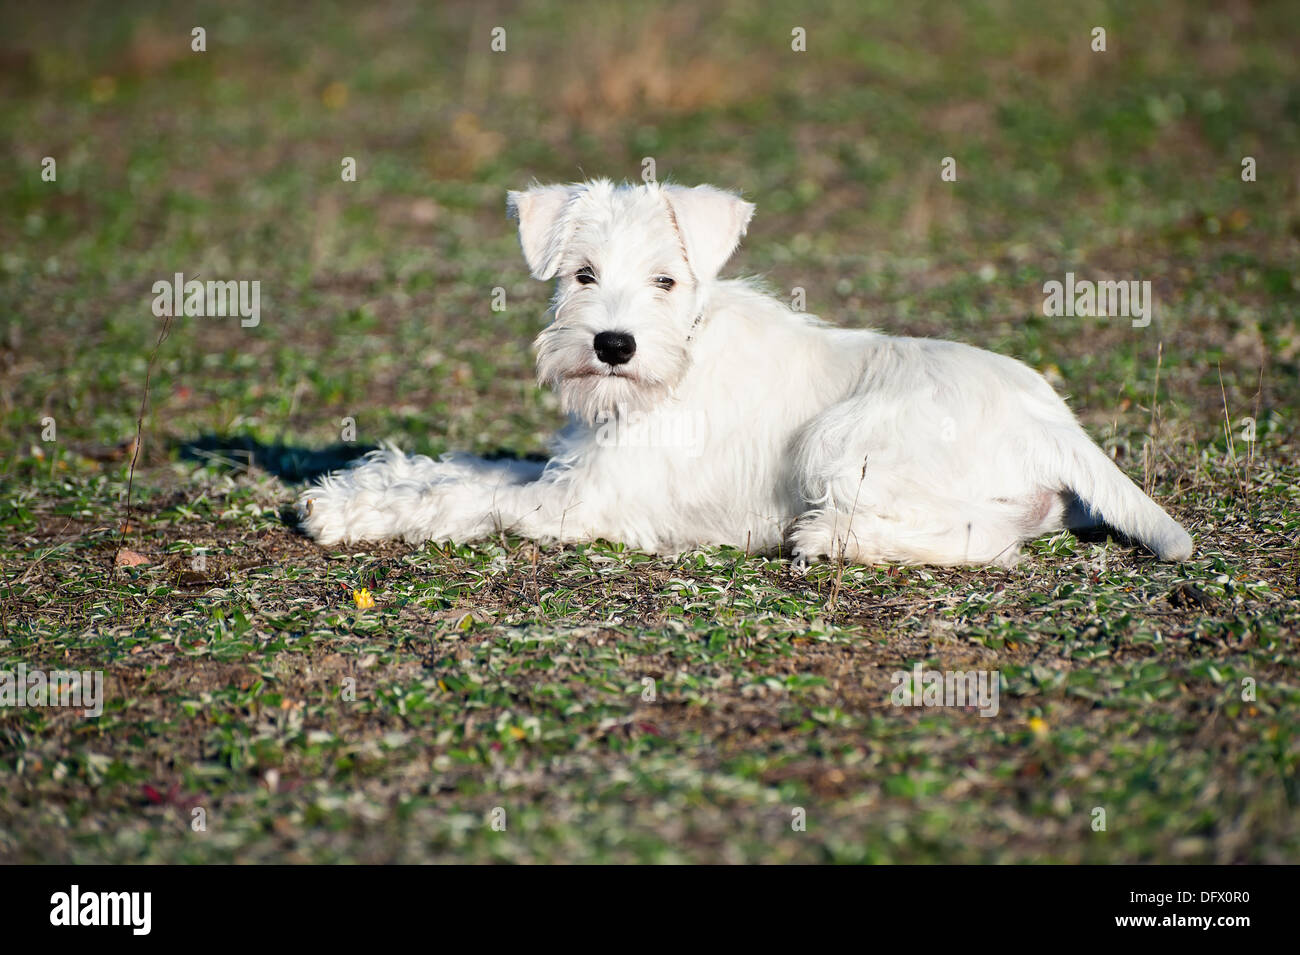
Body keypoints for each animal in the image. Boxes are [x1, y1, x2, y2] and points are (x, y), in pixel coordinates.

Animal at [299, 180, 1190, 566]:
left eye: (665, 279)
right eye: (583, 274)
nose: (613, 345)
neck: (678, 361)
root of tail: (1058, 425)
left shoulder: (584, 502)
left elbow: (466, 499)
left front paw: (352, 512)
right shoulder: (576, 467)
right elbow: (467, 469)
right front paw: (349, 489)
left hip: (845, 435)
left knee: (988, 539)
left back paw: (825, 535)